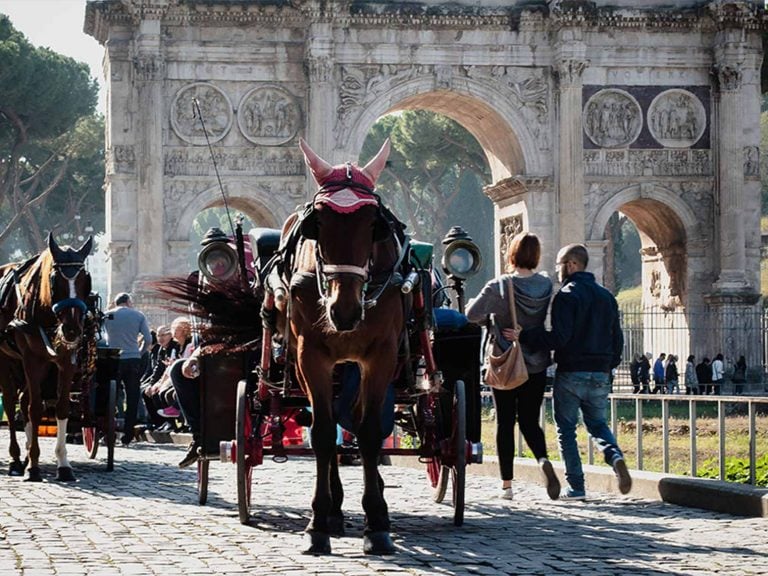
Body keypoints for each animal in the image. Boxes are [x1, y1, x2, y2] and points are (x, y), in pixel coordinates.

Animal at [0, 234, 93, 482]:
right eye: (55, 280)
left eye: (85, 281)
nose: (72, 330)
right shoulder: (32, 359)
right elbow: (35, 409)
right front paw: (33, 466)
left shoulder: (66, 361)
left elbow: (61, 407)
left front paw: (63, 464)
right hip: (7, 360)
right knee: (12, 402)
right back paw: (16, 459)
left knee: (22, 400)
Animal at [272, 137, 408, 556]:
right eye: (318, 224)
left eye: (373, 225)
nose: (343, 310)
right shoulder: (310, 356)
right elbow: (322, 433)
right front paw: (317, 522)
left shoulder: (380, 356)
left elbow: (368, 432)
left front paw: (377, 523)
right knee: (330, 422)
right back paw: (333, 510)